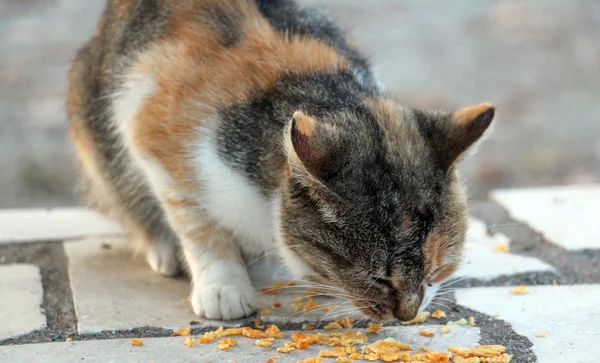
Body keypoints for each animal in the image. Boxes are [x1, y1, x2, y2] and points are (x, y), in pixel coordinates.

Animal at [68, 0, 494, 322]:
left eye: (437, 270)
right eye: (378, 279)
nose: (407, 315)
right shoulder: (151, 125)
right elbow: (194, 218)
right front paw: (222, 286)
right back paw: (164, 249)